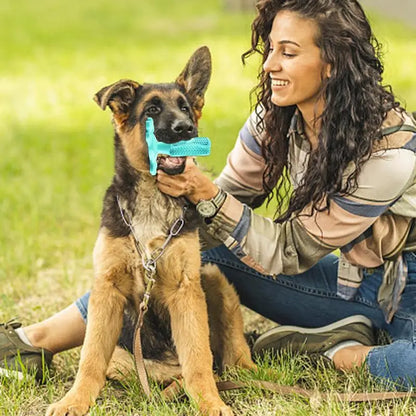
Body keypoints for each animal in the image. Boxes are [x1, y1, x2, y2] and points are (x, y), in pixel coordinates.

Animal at [45, 45, 254, 416]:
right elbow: (90, 358)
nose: (186, 128)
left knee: (219, 358)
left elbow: (198, 359)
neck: (152, 197)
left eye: (185, 106)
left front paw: (210, 403)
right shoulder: (107, 287)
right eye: (152, 110)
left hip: (213, 277)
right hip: (123, 360)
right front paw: (74, 401)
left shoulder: (186, 289)